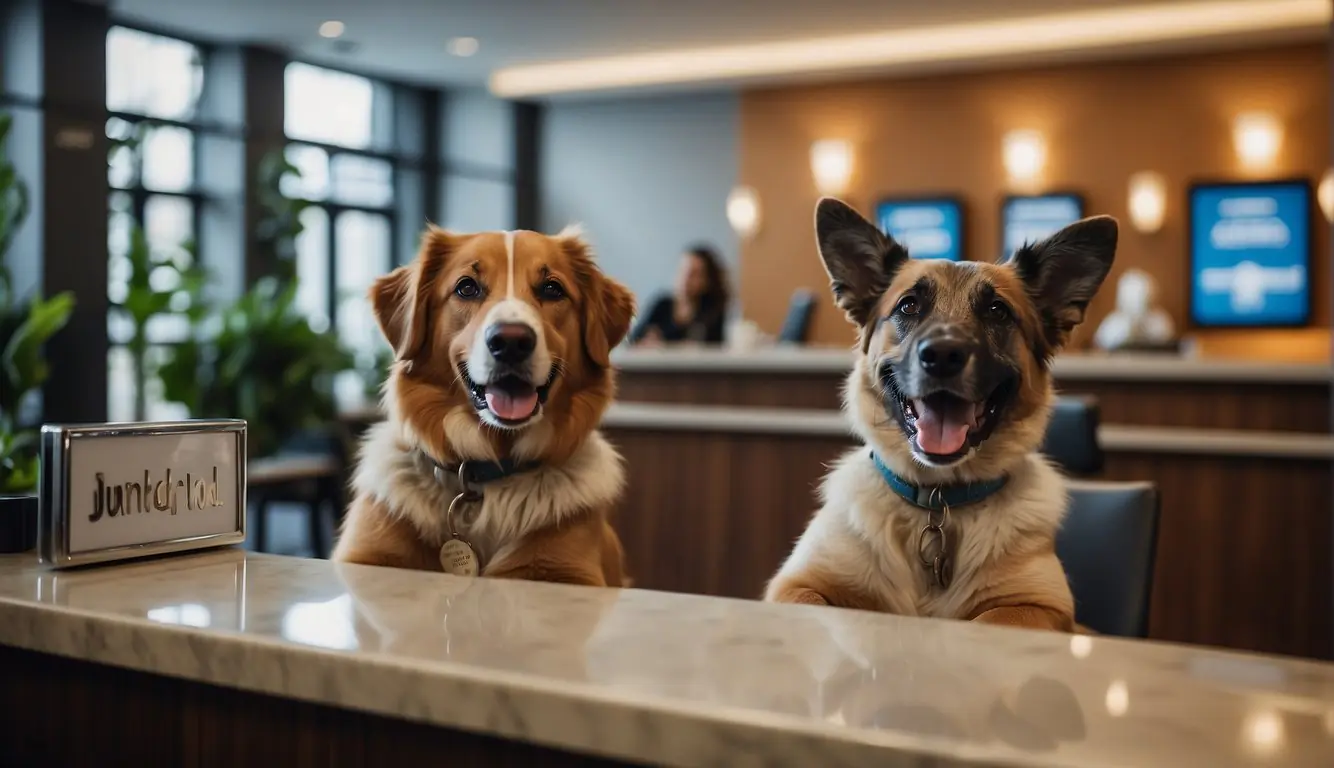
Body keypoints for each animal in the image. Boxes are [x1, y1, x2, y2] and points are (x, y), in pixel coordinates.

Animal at [338, 224, 640, 586]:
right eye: (467, 287)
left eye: (552, 289)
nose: (511, 341)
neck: (485, 472)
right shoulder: (366, 555)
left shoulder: (568, 571)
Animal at [763, 196, 1115, 629]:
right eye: (909, 305)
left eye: (997, 310)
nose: (943, 356)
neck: (937, 502)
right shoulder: (795, 586)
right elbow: (810, 601)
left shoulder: (1039, 608)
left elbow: (991, 619)